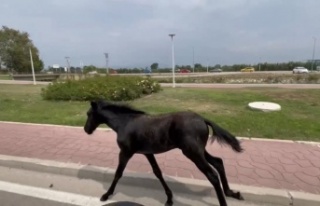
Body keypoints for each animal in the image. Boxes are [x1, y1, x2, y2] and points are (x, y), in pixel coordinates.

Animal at [84, 100, 244, 206]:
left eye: (88, 114)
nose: (86, 130)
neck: (125, 123)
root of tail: (203, 119)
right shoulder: (148, 153)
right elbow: (158, 172)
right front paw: (169, 198)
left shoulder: (125, 152)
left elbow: (118, 173)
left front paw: (106, 195)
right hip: (199, 151)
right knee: (218, 162)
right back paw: (232, 193)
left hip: (192, 152)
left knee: (212, 175)